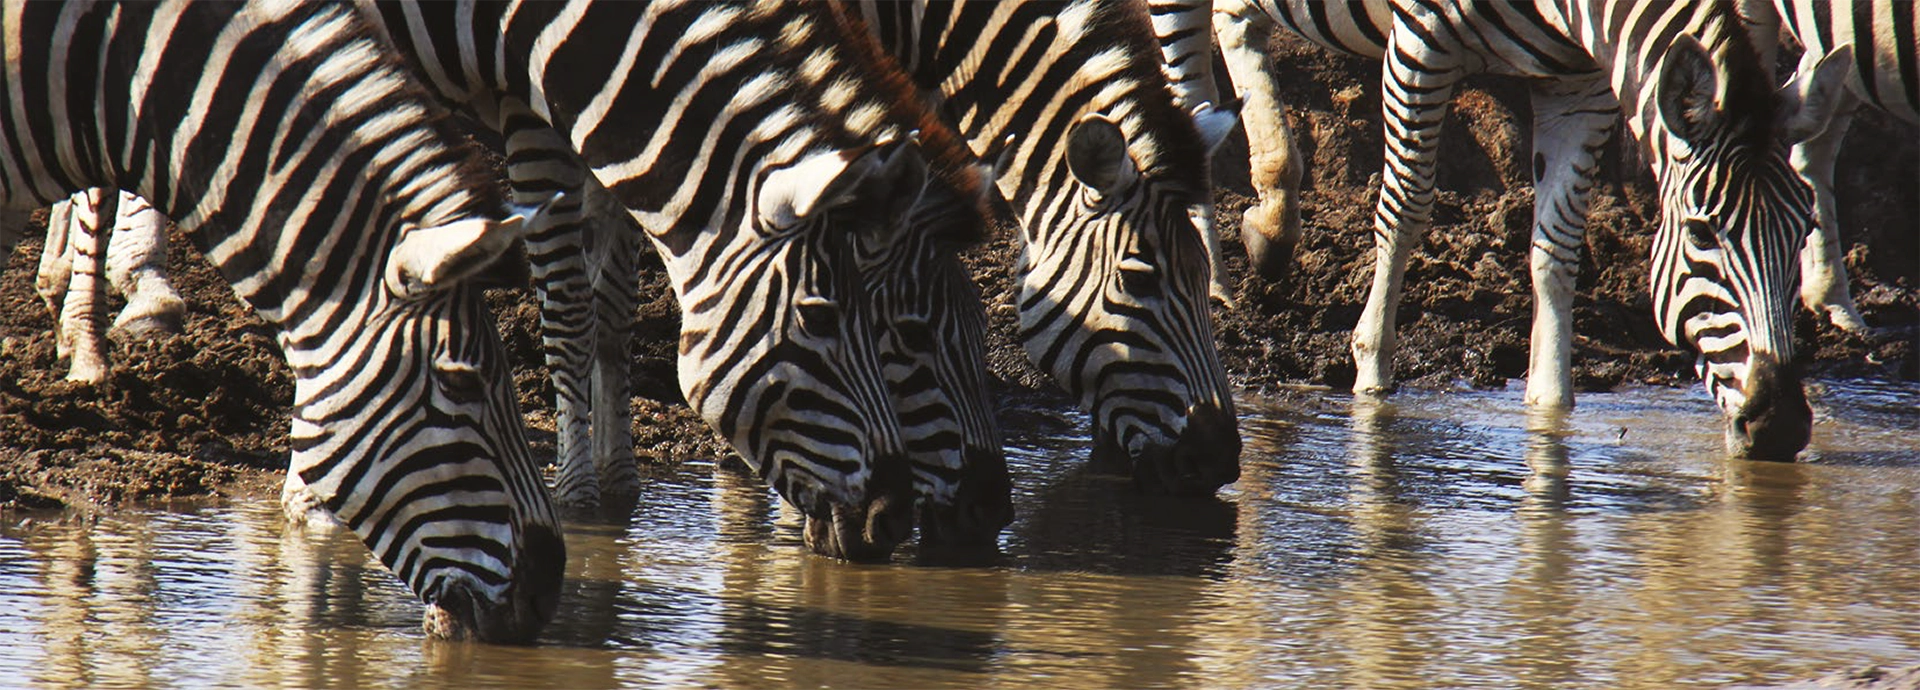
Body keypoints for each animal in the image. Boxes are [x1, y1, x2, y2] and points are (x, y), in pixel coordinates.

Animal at [352, 0, 1007, 558]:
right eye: (911, 336)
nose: (991, 511)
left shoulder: (605, 132)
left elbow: (614, 310)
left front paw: (620, 484)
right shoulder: (531, 115)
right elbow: (571, 314)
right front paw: (581, 499)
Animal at [1160, 0, 1848, 460]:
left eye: (1804, 229)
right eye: (1704, 234)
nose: (1783, 426)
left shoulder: (1579, 85)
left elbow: (1557, 245)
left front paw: (1550, 401)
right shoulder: (1420, 42)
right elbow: (1407, 207)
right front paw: (1372, 371)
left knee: (1234, 22)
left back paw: (1271, 223)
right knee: (1187, 95)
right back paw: (1211, 276)